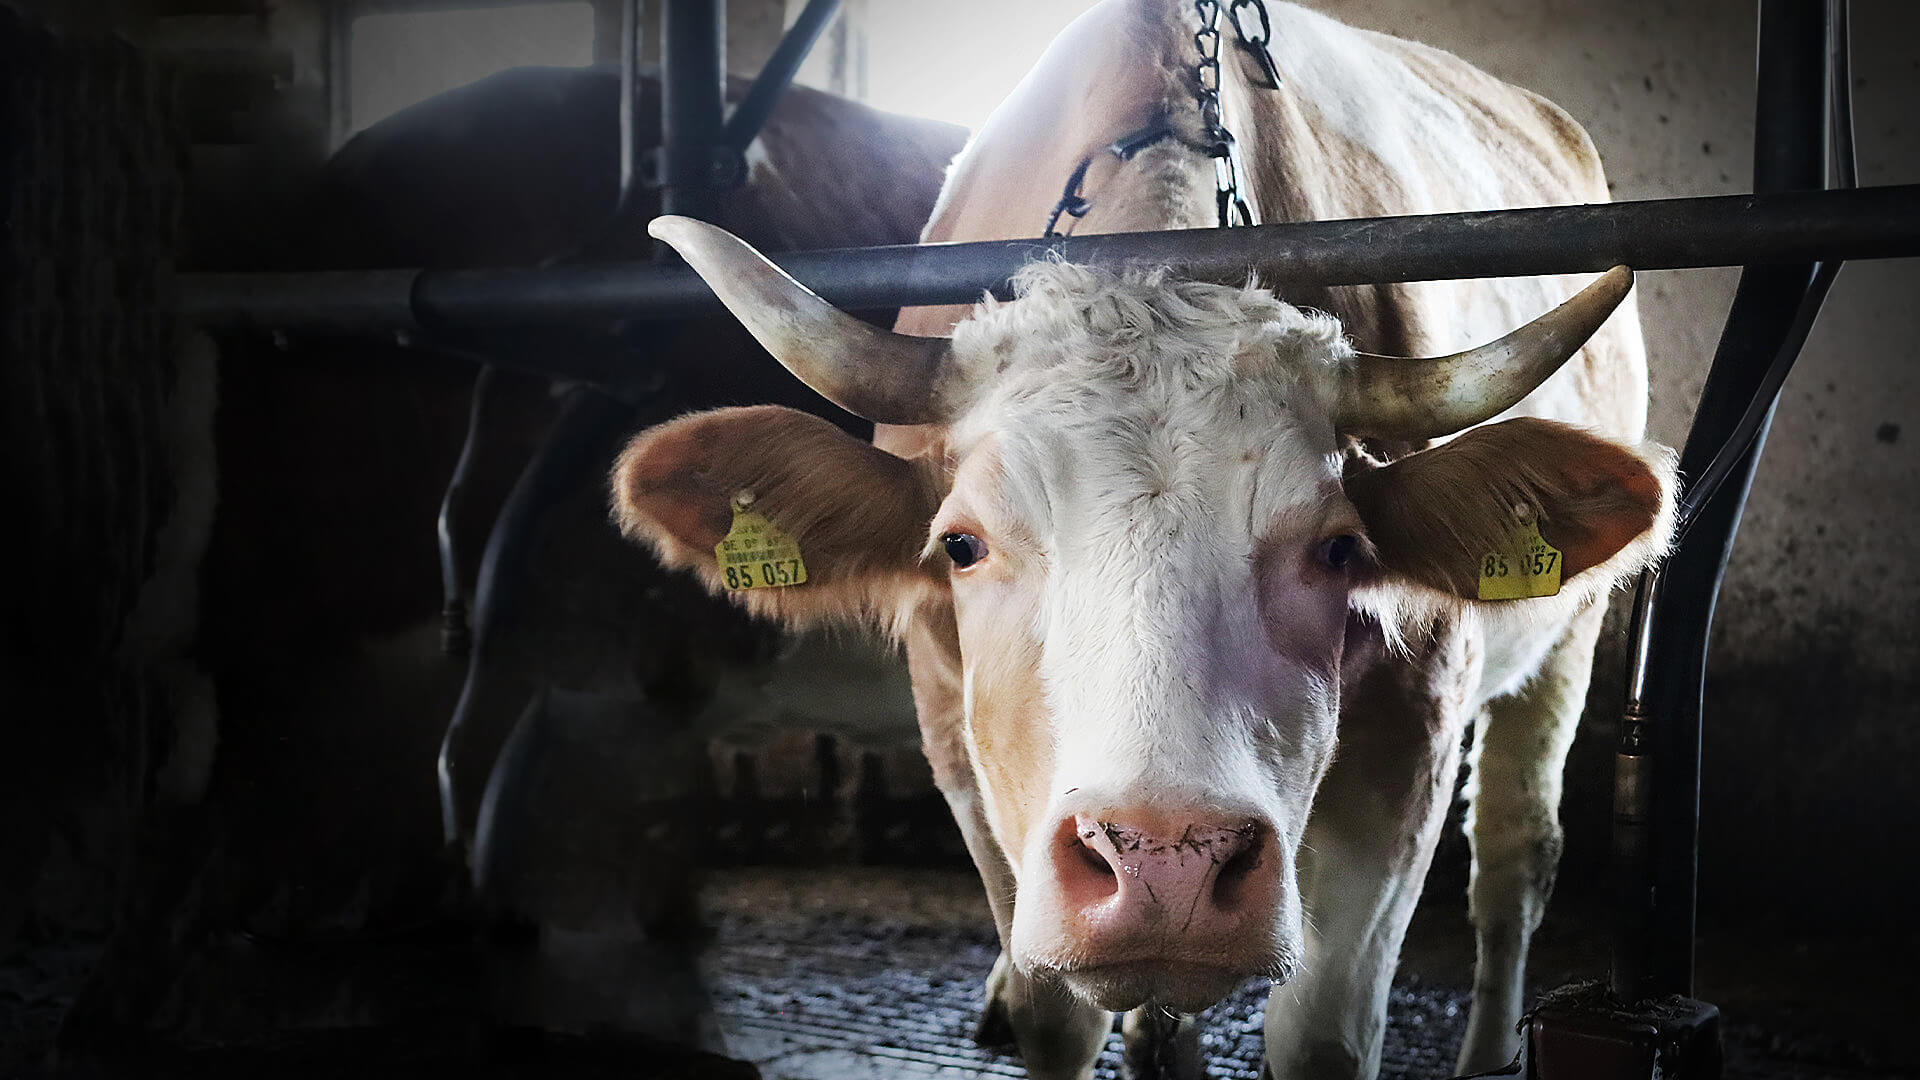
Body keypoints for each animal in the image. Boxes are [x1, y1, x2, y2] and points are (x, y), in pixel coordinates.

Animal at [611, 3, 1670, 1078]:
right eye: (962, 545)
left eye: (1338, 549)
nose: (1168, 863)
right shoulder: (957, 725)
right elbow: (1053, 1010)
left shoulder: (1414, 728)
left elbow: (1324, 1032)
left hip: (1568, 637)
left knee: (1513, 857)